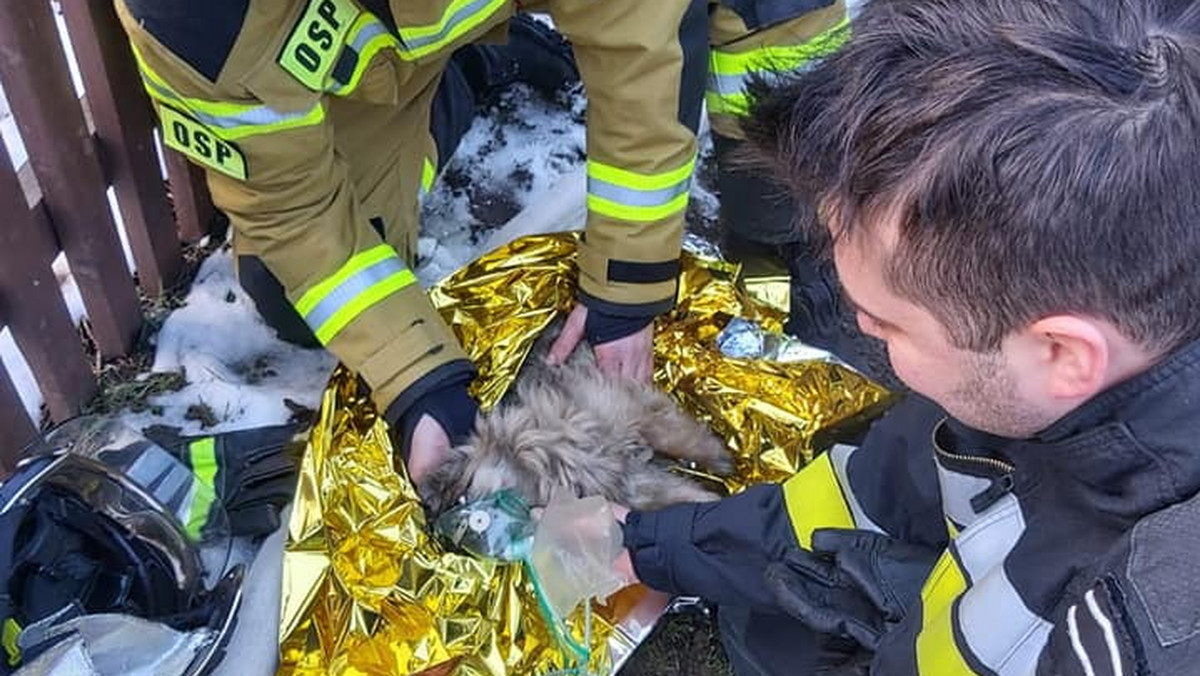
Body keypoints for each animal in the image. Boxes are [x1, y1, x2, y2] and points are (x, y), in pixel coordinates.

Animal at [422, 326, 739, 513]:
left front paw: (719, 458)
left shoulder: (626, 404)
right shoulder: (633, 483)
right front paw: (713, 501)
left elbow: (674, 435)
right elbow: (675, 494)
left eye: (463, 496)